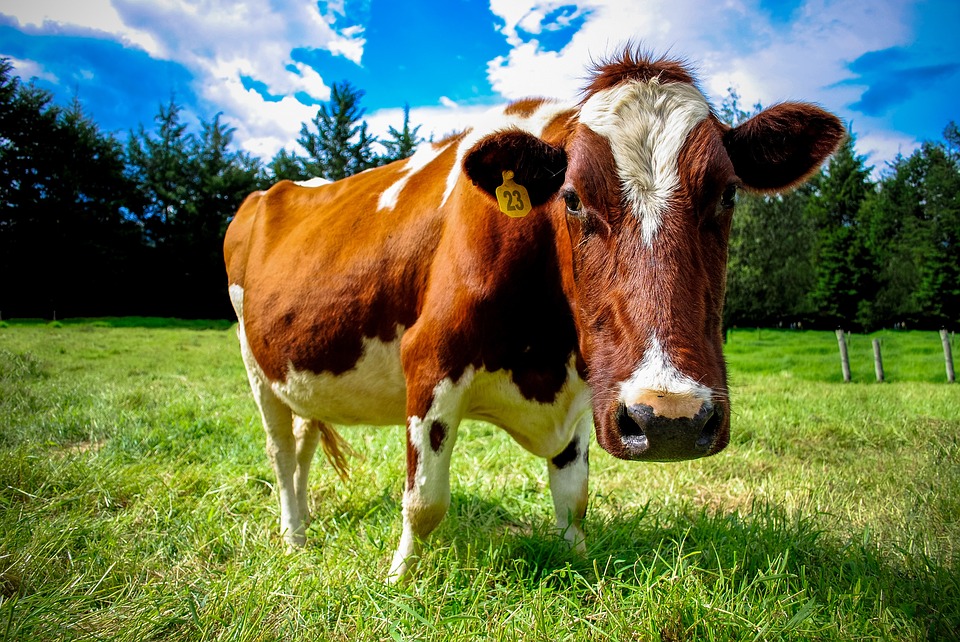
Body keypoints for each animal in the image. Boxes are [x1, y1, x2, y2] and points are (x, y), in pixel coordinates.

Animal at [223, 48, 840, 580]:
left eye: (728, 193)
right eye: (572, 197)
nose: (670, 421)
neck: (545, 349)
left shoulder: (589, 385)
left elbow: (573, 500)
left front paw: (581, 567)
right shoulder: (430, 360)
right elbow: (424, 500)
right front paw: (398, 579)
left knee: (302, 440)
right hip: (254, 364)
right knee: (281, 451)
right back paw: (295, 537)